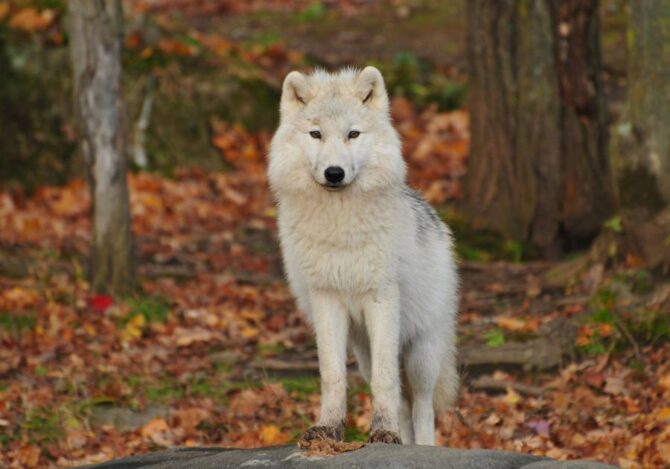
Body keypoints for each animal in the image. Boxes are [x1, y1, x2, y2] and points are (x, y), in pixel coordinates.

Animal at [267, 66, 459, 446]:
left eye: (353, 134)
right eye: (316, 134)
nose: (334, 173)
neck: (340, 226)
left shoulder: (381, 298)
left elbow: (387, 380)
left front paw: (382, 431)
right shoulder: (326, 299)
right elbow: (332, 374)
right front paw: (328, 428)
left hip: (421, 353)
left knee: (422, 406)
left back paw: (421, 446)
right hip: (364, 351)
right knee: (402, 404)